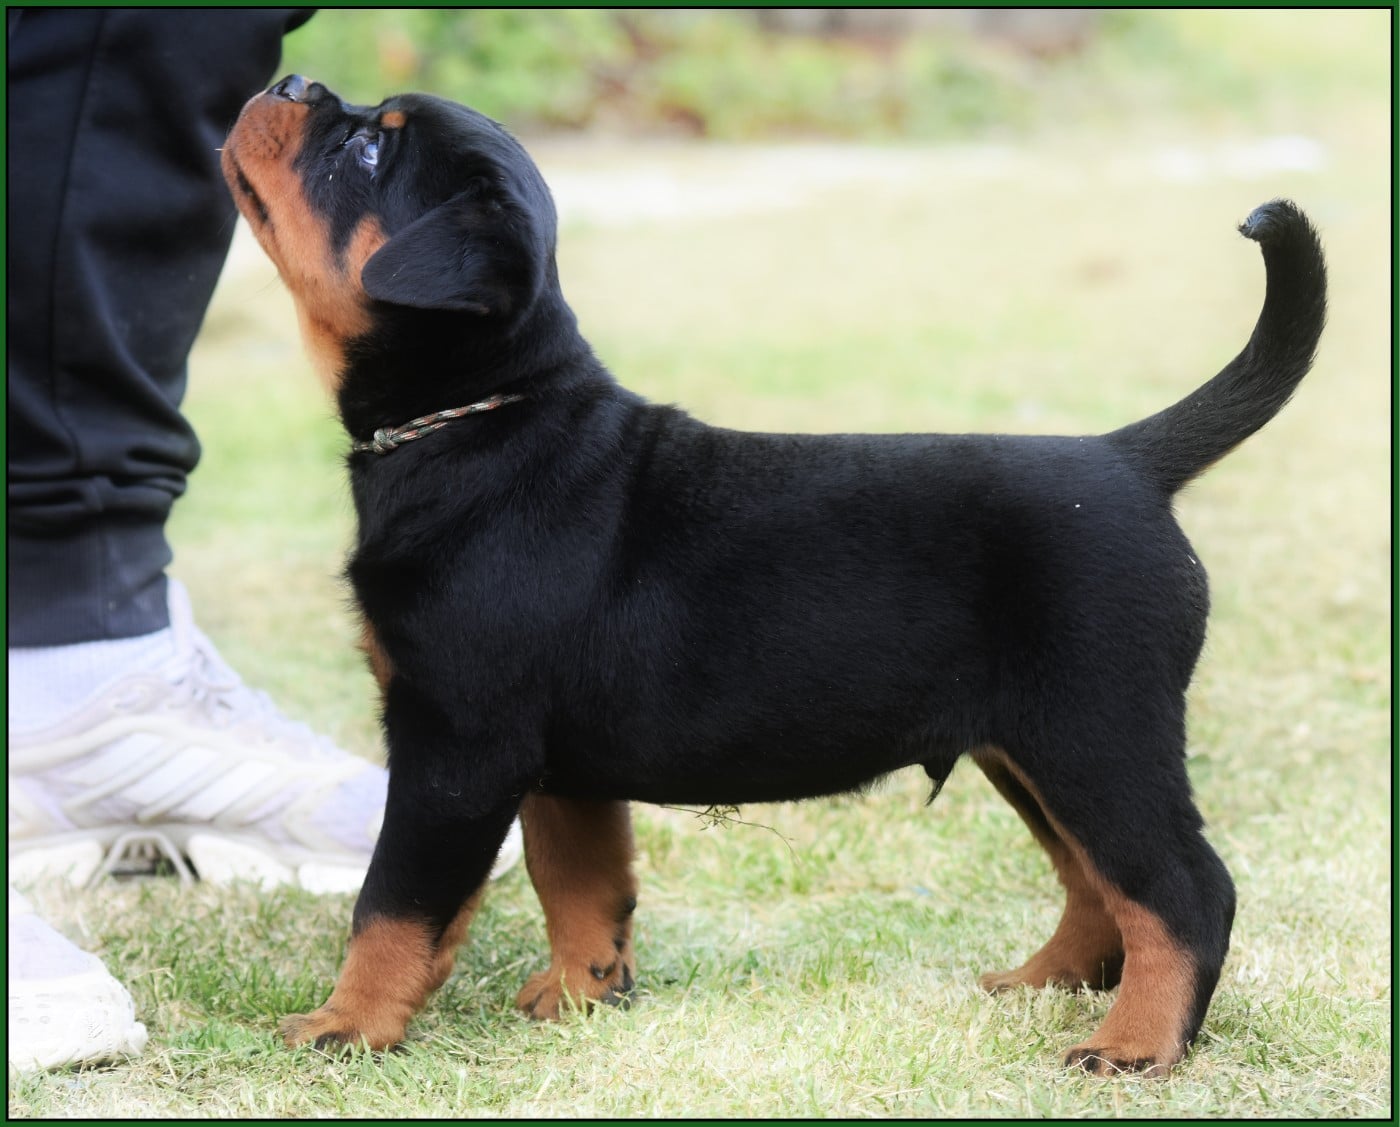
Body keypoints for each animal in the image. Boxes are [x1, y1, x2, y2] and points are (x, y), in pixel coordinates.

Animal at [221, 74, 1327, 1077]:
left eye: (367, 148)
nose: (288, 80)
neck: (487, 414)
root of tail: (1126, 459)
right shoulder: (557, 761)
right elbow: (578, 879)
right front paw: (583, 993)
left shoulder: (456, 742)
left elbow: (395, 900)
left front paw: (348, 1024)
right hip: (1029, 746)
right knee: (1098, 881)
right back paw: (1043, 982)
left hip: (1095, 730)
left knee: (1180, 887)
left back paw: (1135, 1042)